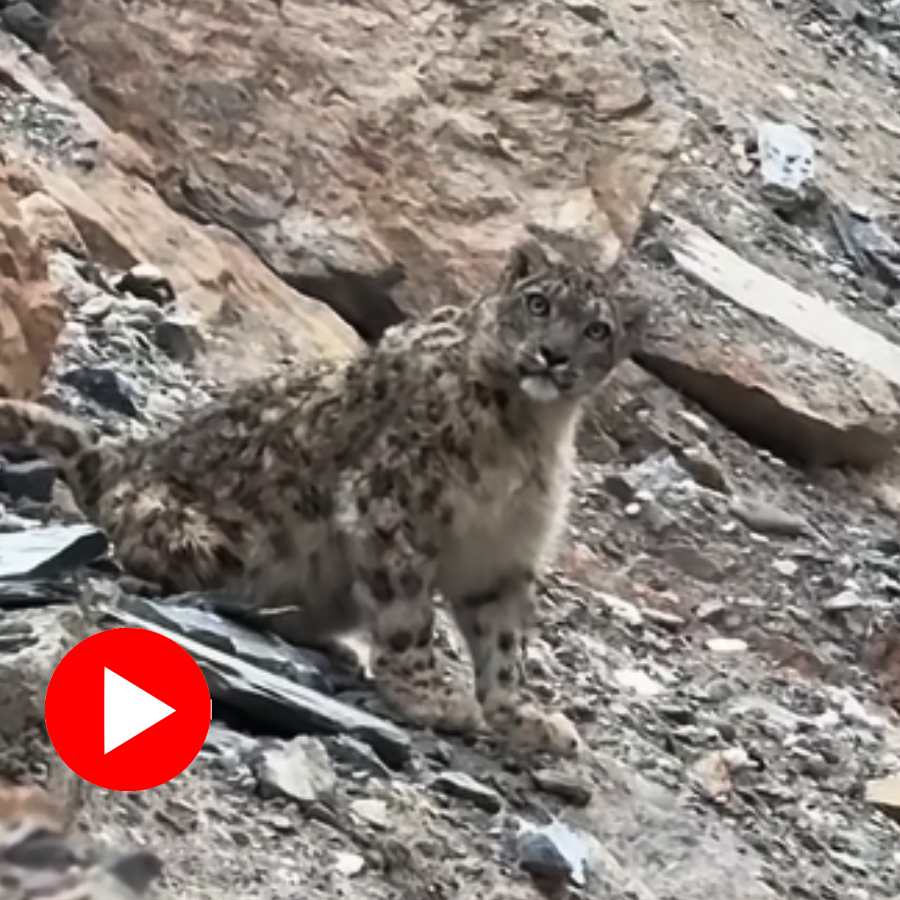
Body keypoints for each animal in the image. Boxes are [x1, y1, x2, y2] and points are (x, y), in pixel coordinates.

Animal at [0, 240, 648, 757]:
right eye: (539, 304)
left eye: (598, 329)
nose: (553, 356)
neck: (530, 431)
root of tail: (125, 452)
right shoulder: (392, 504)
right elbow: (408, 615)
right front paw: (430, 697)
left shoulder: (503, 554)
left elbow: (506, 644)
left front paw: (523, 717)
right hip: (210, 540)